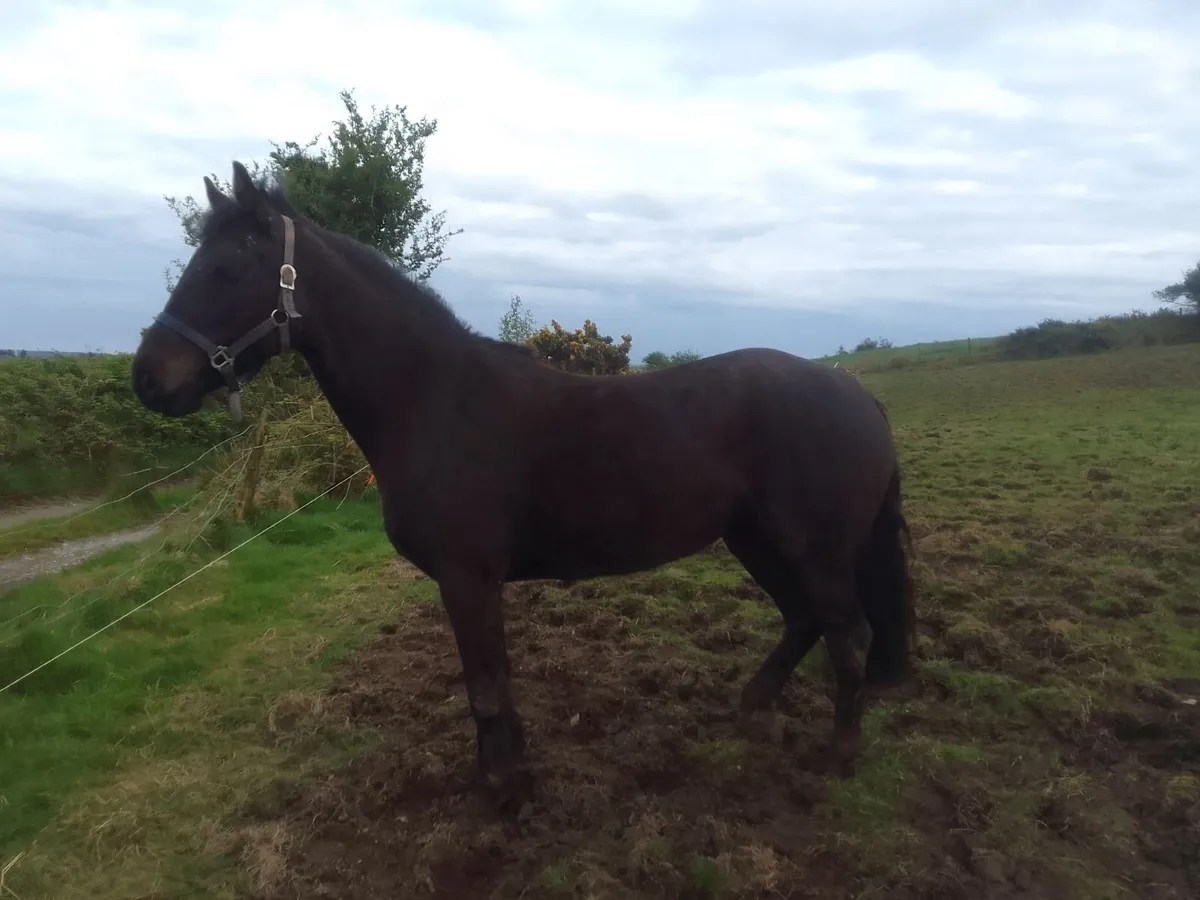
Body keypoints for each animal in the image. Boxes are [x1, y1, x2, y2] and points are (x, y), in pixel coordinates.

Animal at [132, 161, 916, 804]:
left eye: (230, 266)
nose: (148, 379)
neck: (435, 399)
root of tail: (856, 394)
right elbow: (491, 687)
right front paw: (507, 774)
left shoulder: (467, 578)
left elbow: (485, 687)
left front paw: (502, 791)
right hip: (758, 539)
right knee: (807, 620)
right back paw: (754, 708)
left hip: (811, 549)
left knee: (848, 633)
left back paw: (838, 757)